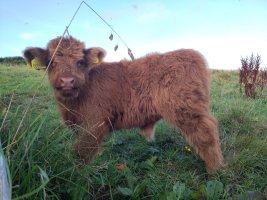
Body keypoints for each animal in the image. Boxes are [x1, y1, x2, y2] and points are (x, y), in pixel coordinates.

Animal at [23, 36, 224, 173]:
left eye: (80, 62)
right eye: (51, 62)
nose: (67, 81)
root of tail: (190, 52)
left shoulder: (93, 126)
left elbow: (81, 153)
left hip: (186, 110)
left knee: (206, 133)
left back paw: (214, 170)